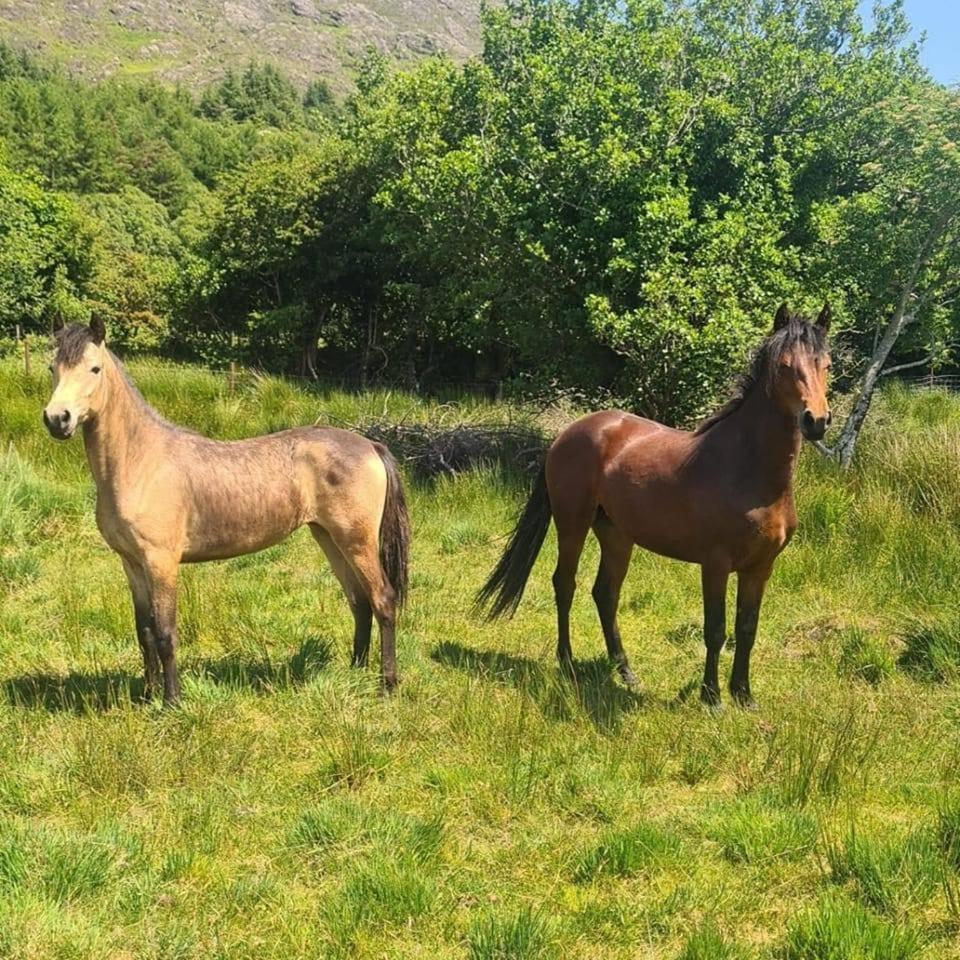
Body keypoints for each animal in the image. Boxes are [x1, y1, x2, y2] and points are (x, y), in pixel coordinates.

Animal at [42, 318, 408, 700]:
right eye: (53, 368)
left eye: (94, 369)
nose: (57, 419)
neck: (140, 461)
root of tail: (371, 445)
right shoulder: (131, 563)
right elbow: (144, 633)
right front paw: (148, 696)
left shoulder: (161, 562)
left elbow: (165, 634)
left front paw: (172, 701)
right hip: (329, 538)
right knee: (359, 602)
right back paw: (355, 674)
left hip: (357, 540)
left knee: (383, 600)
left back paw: (387, 685)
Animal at [480, 304, 832, 708]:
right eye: (785, 365)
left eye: (827, 364)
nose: (816, 421)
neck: (749, 472)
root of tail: (568, 433)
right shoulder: (715, 564)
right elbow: (716, 630)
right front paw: (712, 698)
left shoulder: (761, 567)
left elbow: (746, 629)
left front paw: (744, 695)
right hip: (572, 523)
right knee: (564, 584)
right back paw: (567, 661)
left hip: (616, 534)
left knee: (605, 593)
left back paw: (625, 672)